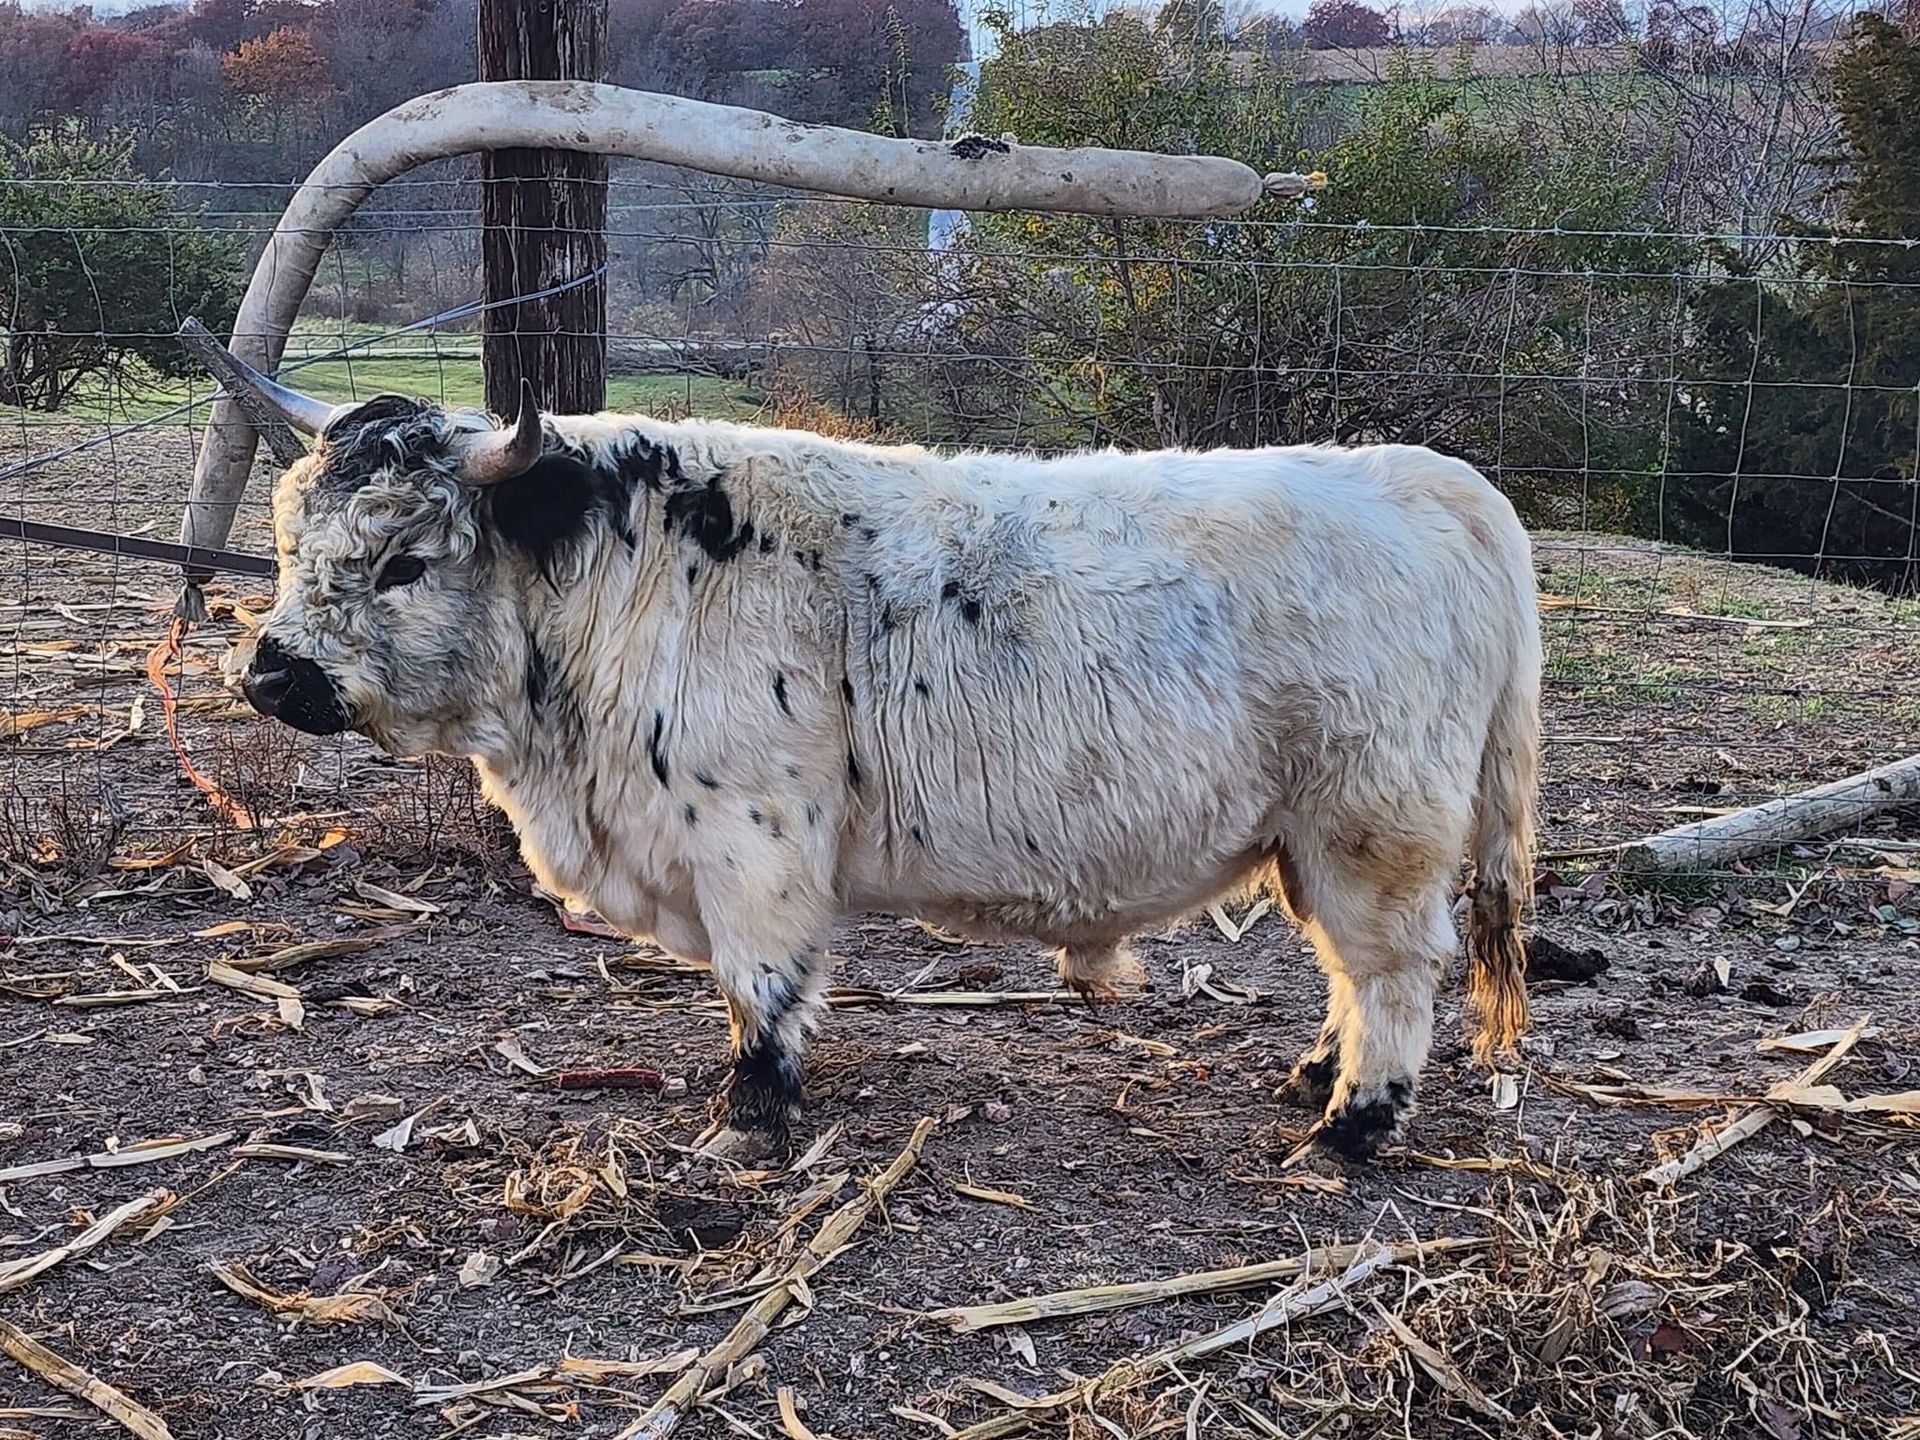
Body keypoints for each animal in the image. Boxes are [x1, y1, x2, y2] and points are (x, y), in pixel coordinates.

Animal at [229, 363, 1541, 1165]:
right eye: (290, 541)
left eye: (402, 560)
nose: (271, 676)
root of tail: (1430, 478)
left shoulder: (751, 840)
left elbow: (760, 986)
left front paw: (753, 1111)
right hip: (1312, 844)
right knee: (1348, 974)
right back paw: (1316, 1076)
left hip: (1373, 830)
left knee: (1394, 972)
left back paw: (1354, 1125)